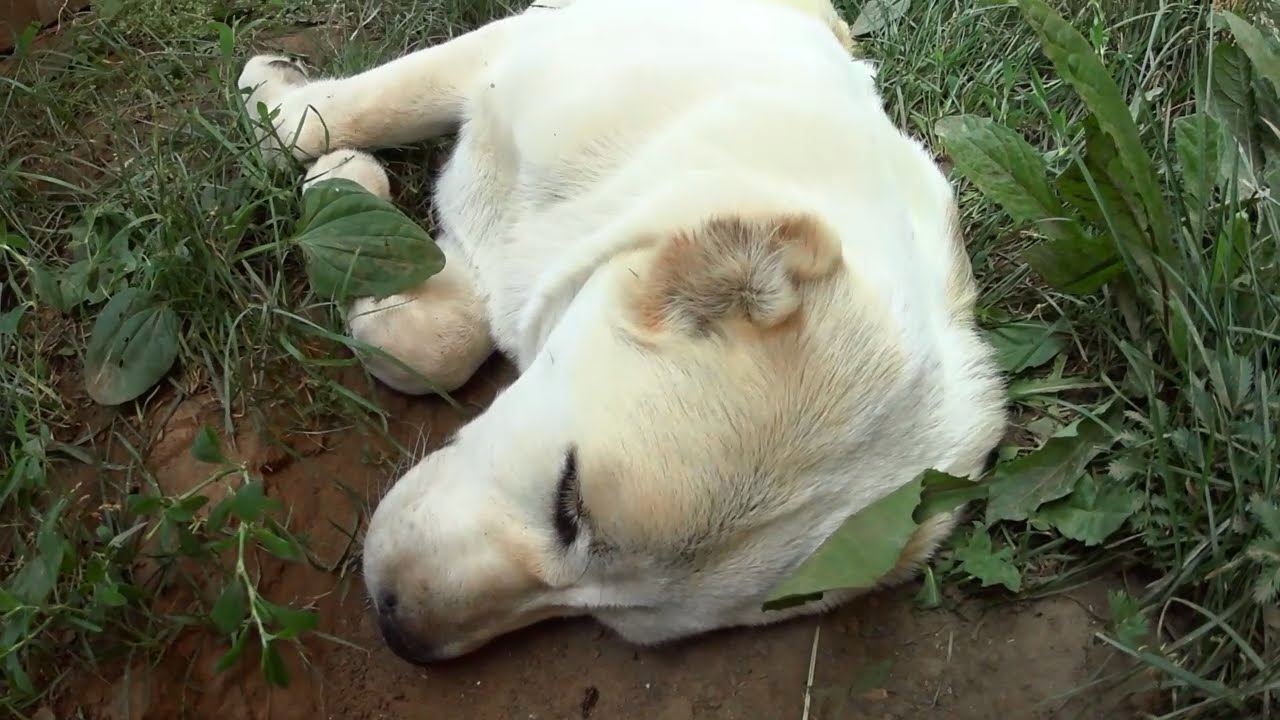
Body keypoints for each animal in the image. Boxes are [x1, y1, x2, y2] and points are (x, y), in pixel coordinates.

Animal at [235, 0, 1003, 661]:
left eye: (609, 614)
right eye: (567, 501)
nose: (401, 633)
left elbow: (429, 341)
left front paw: (344, 199)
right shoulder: (517, 54)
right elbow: (341, 117)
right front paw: (291, 120)